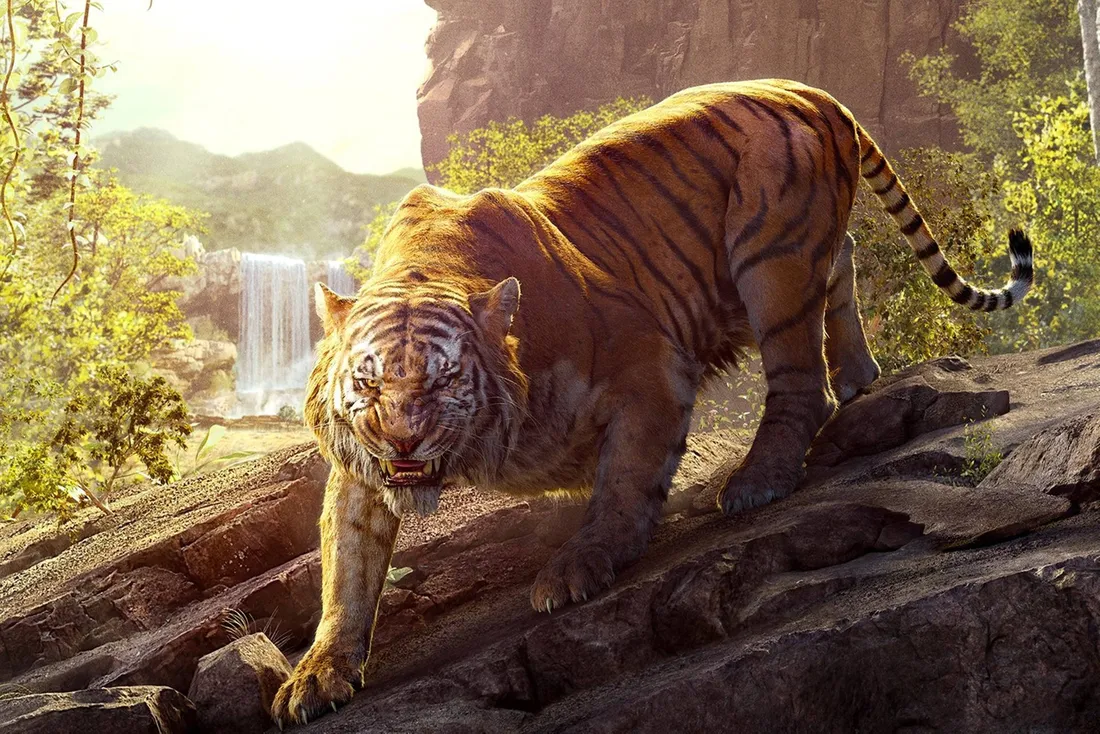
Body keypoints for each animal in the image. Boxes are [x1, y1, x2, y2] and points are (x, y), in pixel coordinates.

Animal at [271, 78, 1033, 726]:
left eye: (444, 378)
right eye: (366, 382)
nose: (402, 443)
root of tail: (806, 87)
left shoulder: (649, 362)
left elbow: (626, 480)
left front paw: (579, 567)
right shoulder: (358, 471)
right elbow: (347, 566)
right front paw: (316, 674)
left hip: (770, 255)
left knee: (798, 381)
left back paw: (758, 480)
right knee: (842, 258)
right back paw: (858, 375)